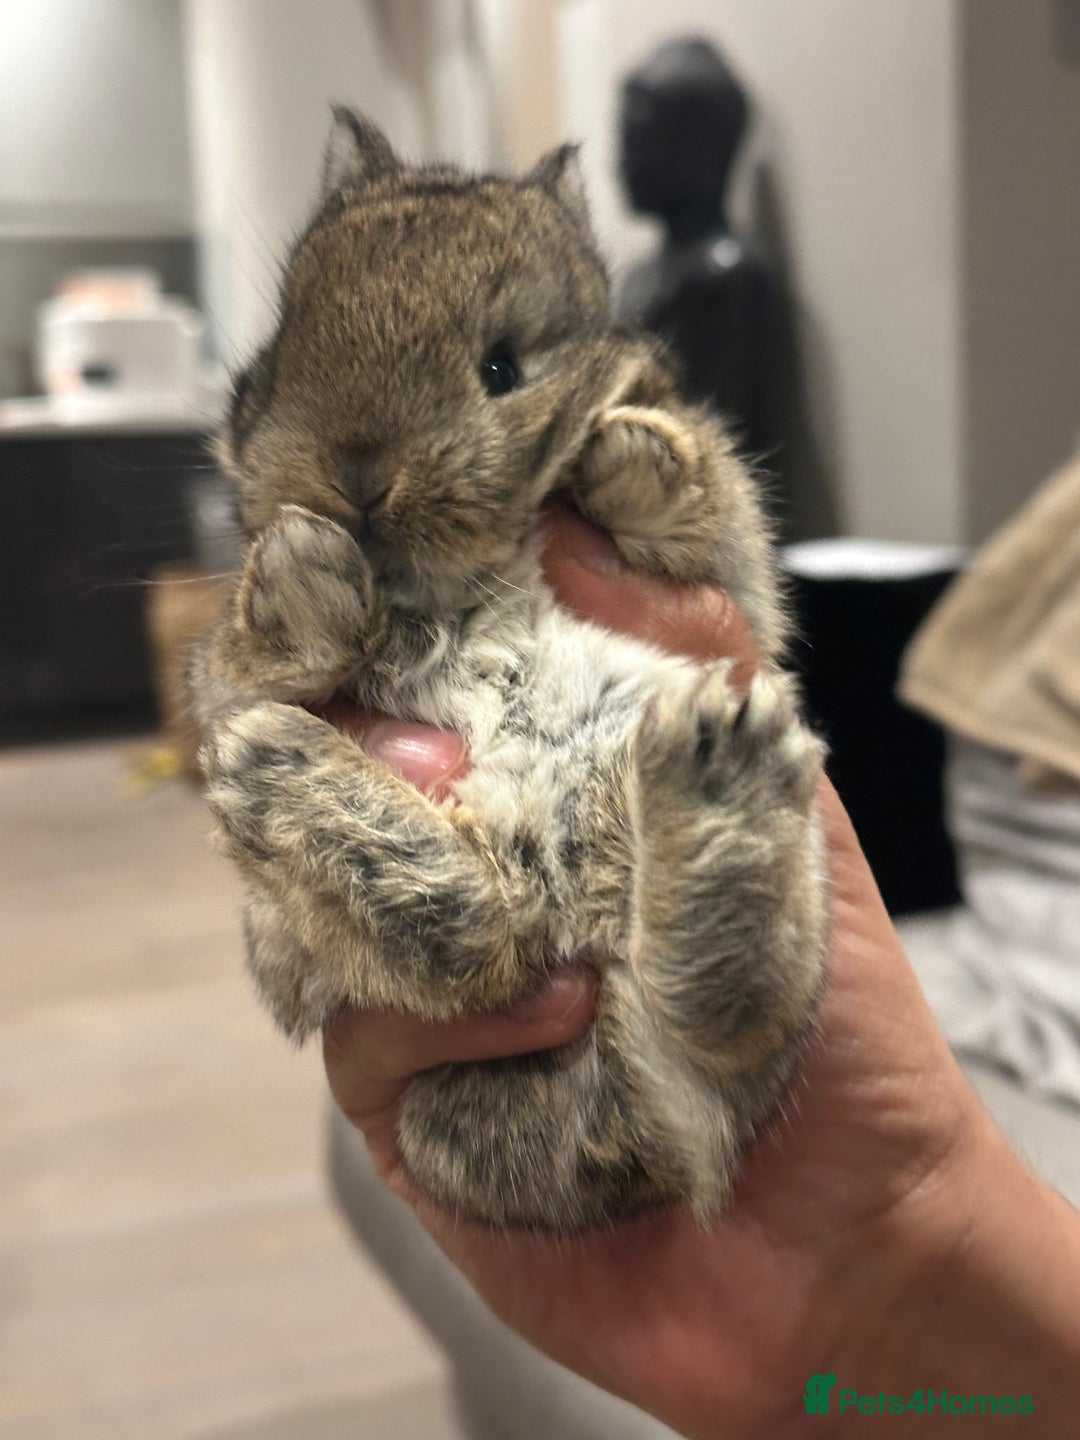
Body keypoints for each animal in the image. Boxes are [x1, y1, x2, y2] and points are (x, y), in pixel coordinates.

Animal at [190, 107, 828, 1233]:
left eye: (501, 368)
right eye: (283, 349)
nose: (352, 482)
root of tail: (638, 1159)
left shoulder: (732, 581)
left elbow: (702, 503)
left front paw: (626, 451)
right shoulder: (226, 682)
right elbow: (245, 660)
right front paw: (304, 573)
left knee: (721, 1019)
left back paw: (719, 771)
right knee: (486, 936)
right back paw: (275, 771)